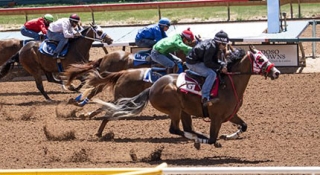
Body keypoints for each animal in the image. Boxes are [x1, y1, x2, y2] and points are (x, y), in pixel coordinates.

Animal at [90, 44, 280, 148]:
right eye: (260, 59)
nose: (276, 72)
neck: (228, 83)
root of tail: (152, 89)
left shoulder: (230, 114)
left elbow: (244, 126)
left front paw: (227, 136)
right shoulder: (216, 117)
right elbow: (213, 138)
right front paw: (214, 139)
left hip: (184, 111)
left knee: (187, 129)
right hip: (174, 109)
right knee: (175, 129)